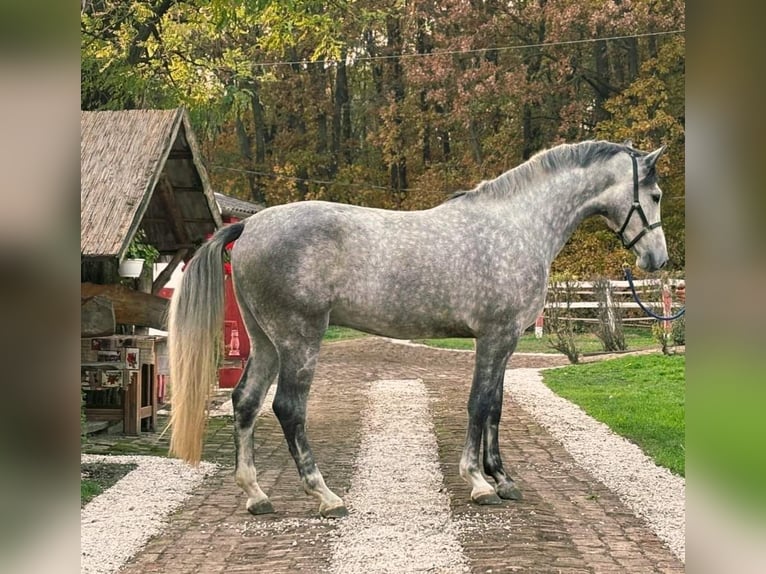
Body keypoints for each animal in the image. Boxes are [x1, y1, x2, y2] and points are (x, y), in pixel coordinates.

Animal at [166, 141, 664, 520]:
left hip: (265, 342)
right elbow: (479, 405)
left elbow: (495, 407)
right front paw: (478, 482)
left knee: (246, 402)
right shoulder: (494, 337)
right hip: (298, 339)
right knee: (288, 408)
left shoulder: (506, 341)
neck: (516, 226)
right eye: (656, 195)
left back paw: (256, 495)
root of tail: (251, 225)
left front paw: (503, 479)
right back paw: (325, 496)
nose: (658, 259)